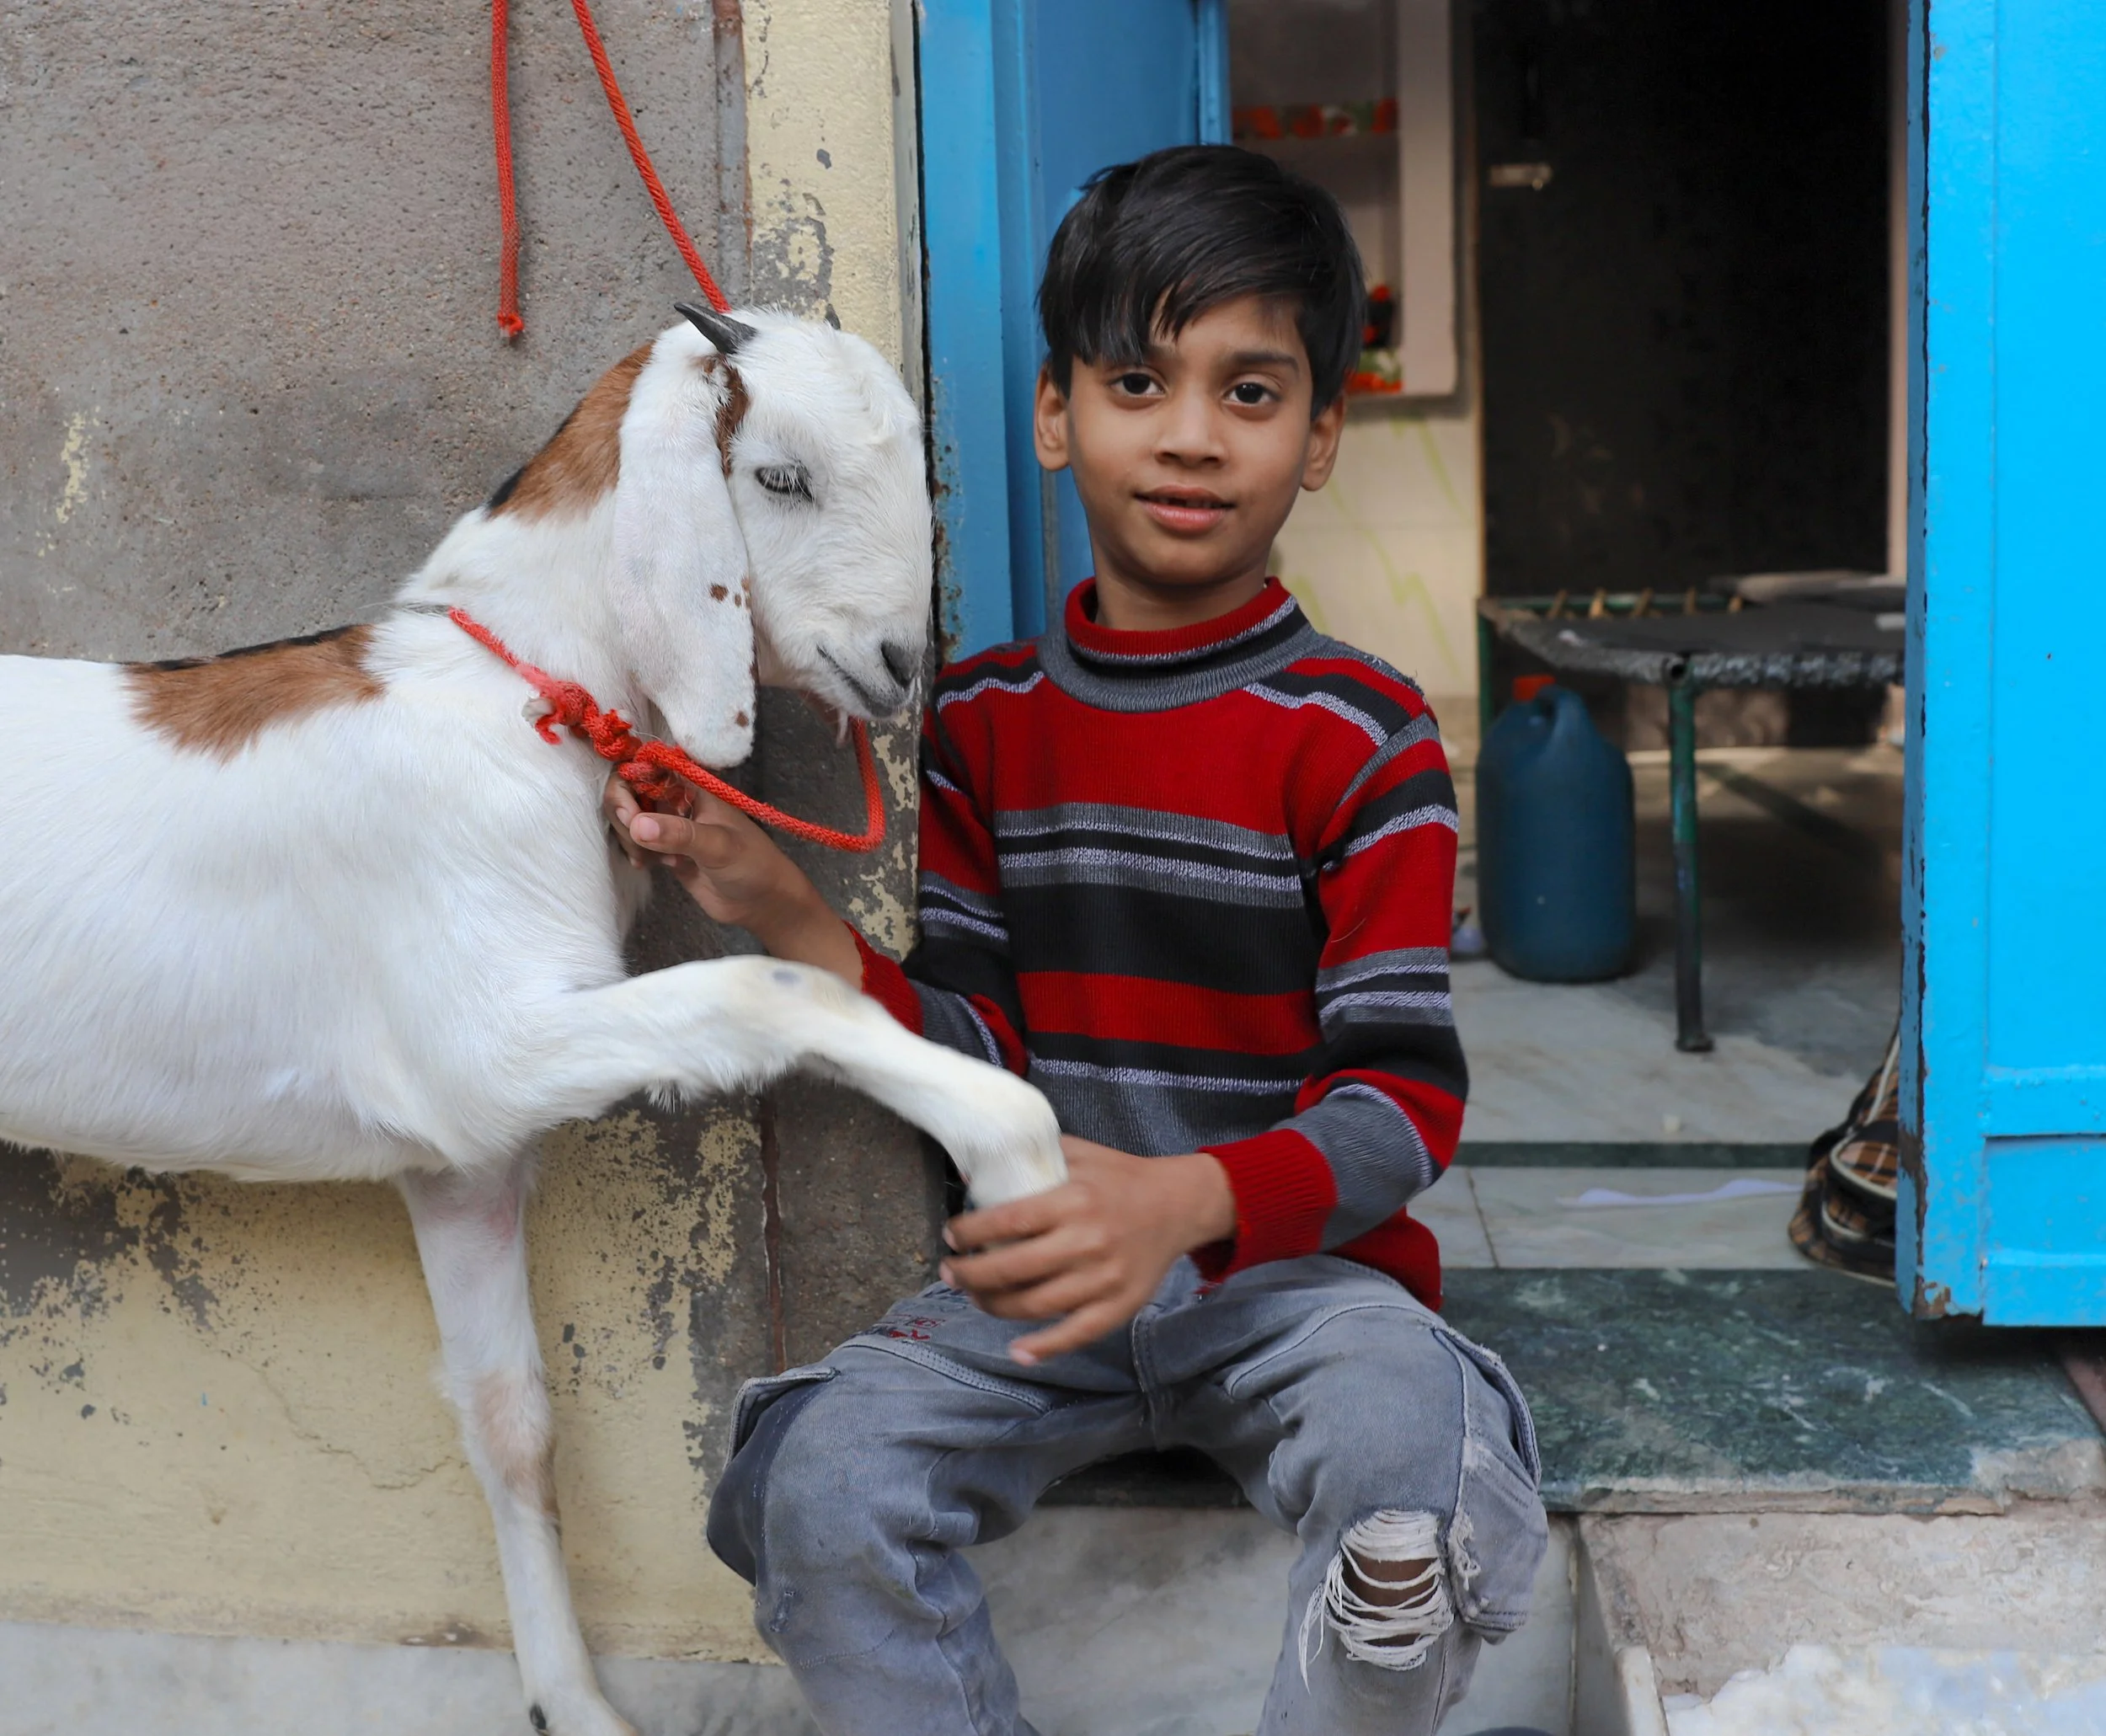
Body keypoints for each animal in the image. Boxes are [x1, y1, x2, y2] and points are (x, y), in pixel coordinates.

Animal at [0, 304, 1065, 1736]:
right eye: (780, 477)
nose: (900, 667)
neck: (518, 693)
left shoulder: (460, 1161)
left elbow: (510, 1418)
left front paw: (574, 1699)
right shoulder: (480, 1050)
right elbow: (768, 987)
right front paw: (1014, 1147)